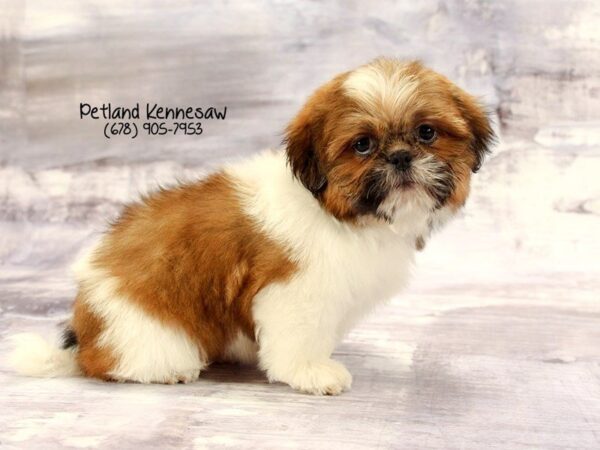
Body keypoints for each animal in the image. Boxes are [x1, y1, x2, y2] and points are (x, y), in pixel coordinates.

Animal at [11, 58, 494, 396]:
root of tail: (85, 330)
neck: (338, 212)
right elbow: (297, 335)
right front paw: (311, 371)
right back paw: (166, 371)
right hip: (145, 328)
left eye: (427, 132)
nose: (400, 157)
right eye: (362, 145)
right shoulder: (292, 290)